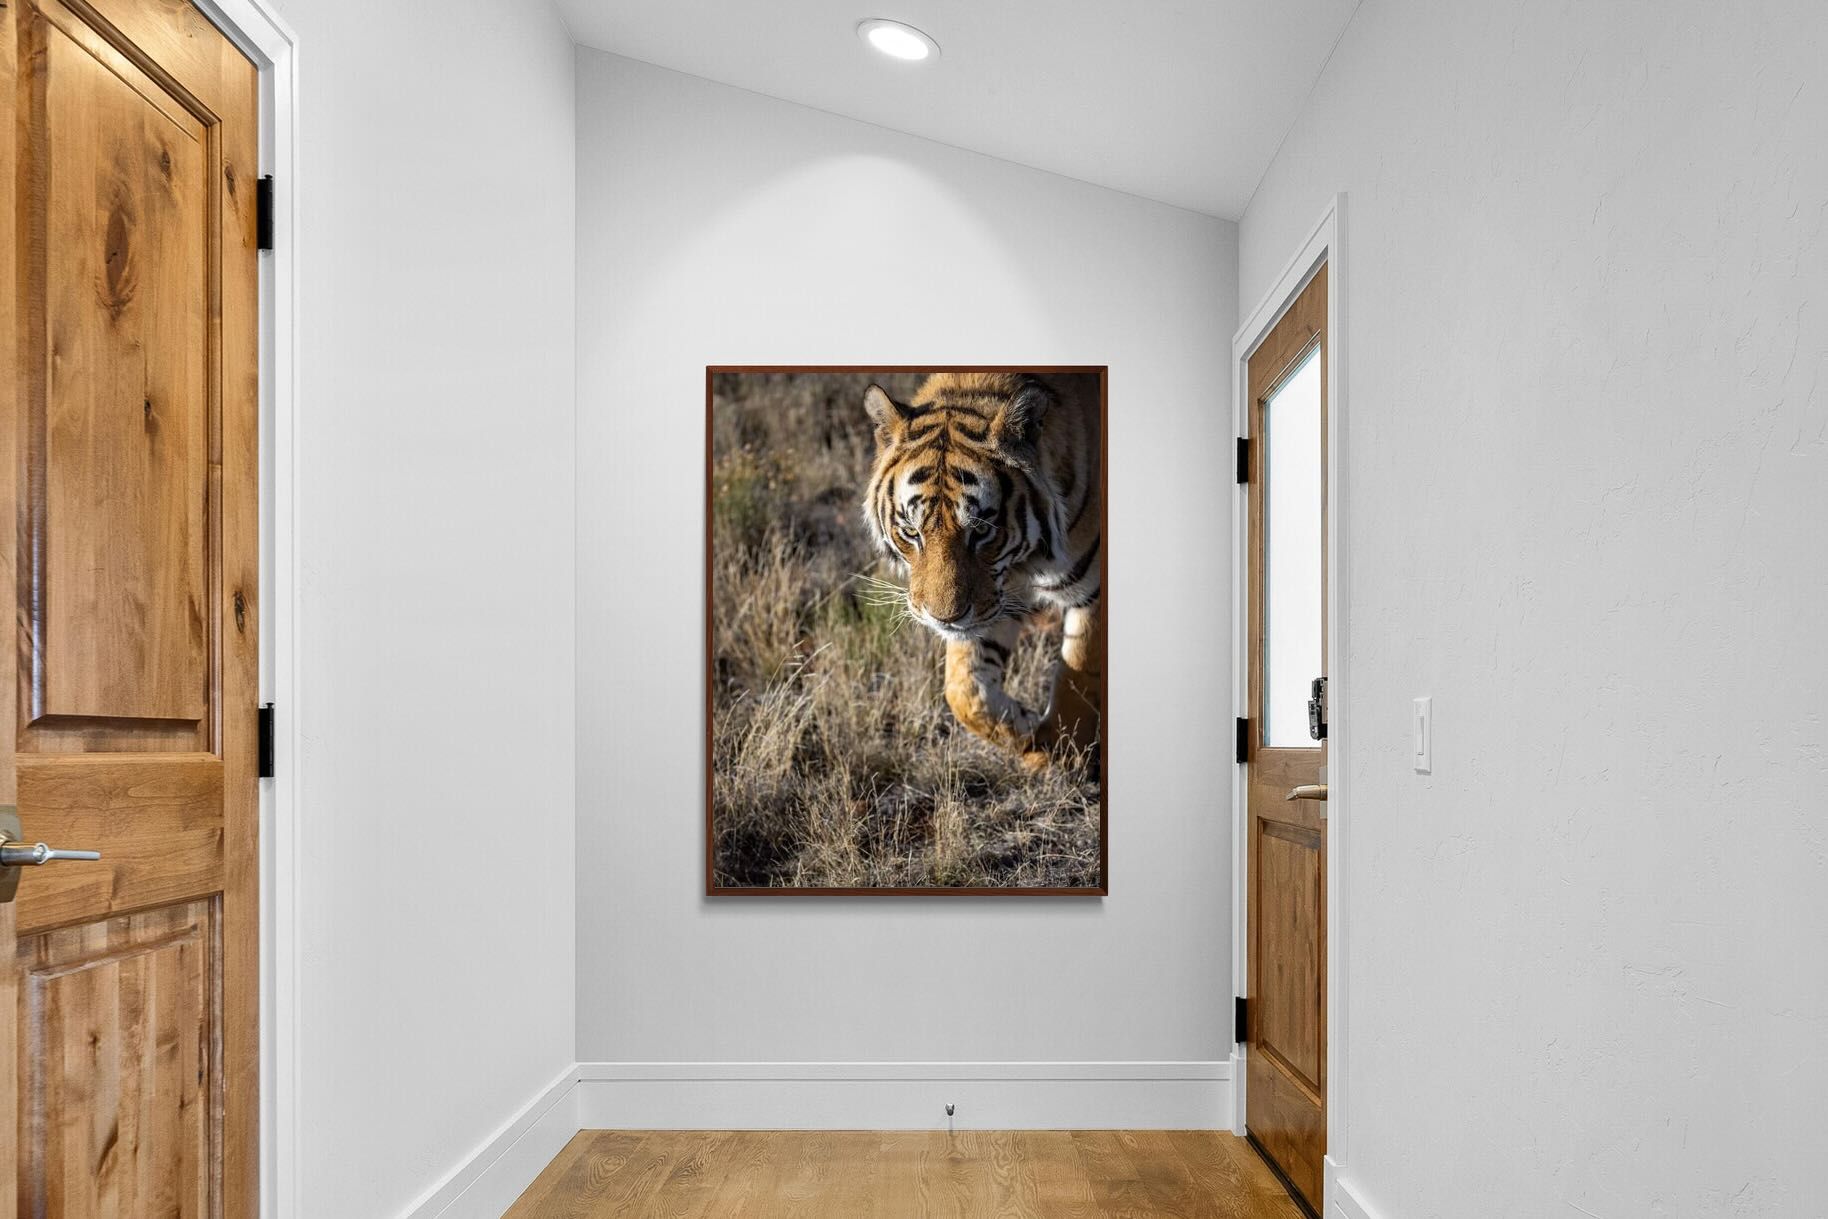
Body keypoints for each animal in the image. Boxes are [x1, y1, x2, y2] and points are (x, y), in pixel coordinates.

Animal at [862, 372, 1103, 770]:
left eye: (981, 530)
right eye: (911, 532)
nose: (943, 619)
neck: (1025, 563)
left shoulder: (1094, 592)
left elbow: (1077, 675)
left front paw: (1062, 752)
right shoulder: (995, 599)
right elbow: (964, 690)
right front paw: (1029, 732)